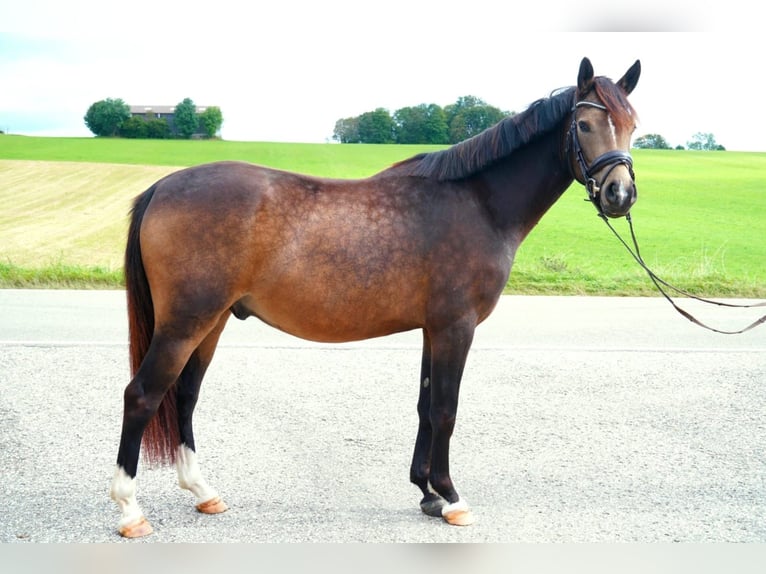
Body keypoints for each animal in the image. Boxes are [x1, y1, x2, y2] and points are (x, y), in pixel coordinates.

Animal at [109, 58, 640, 540]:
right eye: (585, 124)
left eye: (633, 125)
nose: (620, 194)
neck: (476, 203)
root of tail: (161, 187)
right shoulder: (456, 327)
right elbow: (446, 409)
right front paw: (452, 497)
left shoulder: (432, 329)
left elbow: (426, 406)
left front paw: (427, 493)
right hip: (185, 323)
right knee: (142, 396)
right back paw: (131, 511)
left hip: (211, 321)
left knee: (185, 395)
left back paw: (203, 492)